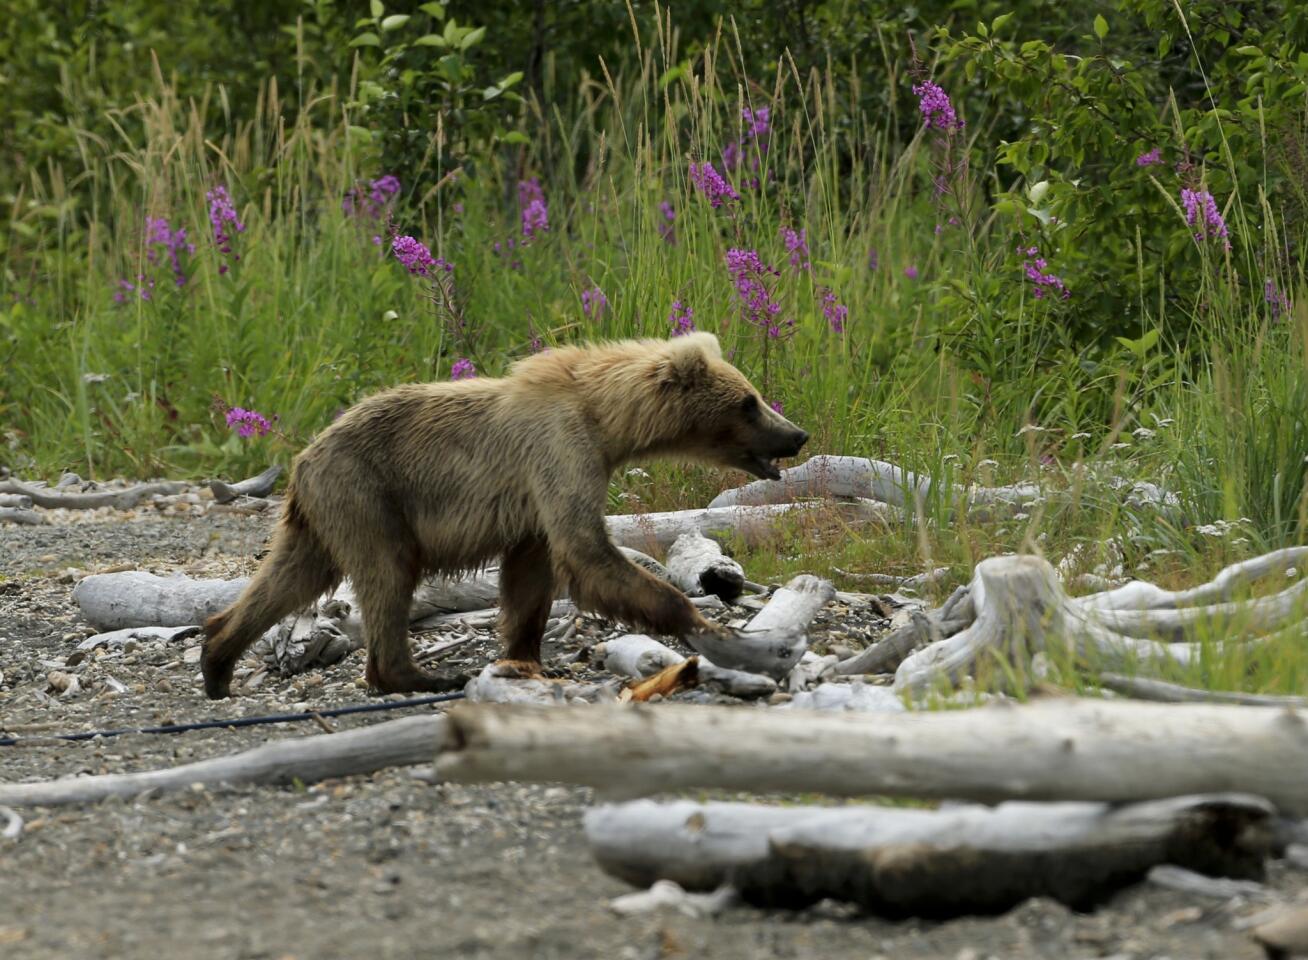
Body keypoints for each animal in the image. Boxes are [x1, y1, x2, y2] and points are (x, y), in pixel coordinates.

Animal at [200, 334, 805, 701]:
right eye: (749, 402)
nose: (796, 433)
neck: (605, 422)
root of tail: (303, 458)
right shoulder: (559, 452)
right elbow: (586, 548)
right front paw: (711, 629)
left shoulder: (535, 498)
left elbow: (531, 575)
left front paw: (528, 658)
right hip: (369, 493)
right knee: (387, 575)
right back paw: (420, 673)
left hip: (324, 512)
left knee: (290, 577)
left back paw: (217, 658)